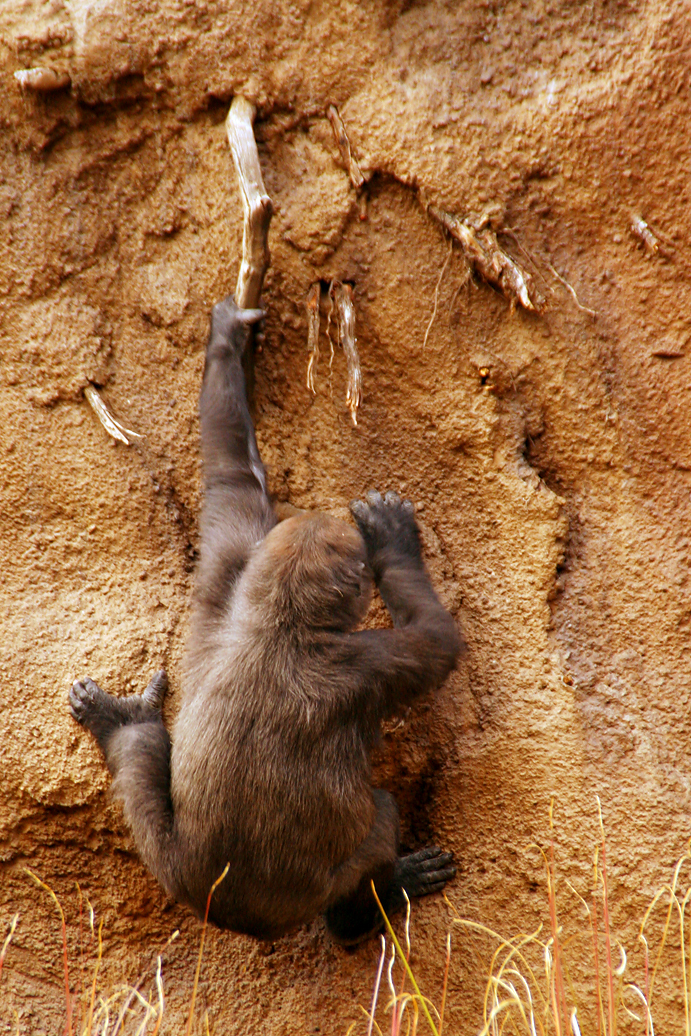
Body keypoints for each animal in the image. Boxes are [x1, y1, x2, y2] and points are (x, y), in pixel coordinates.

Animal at [69, 296, 462, 944]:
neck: (279, 621)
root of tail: (231, 918)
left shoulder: (233, 564)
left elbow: (230, 473)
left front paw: (227, 341)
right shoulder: (373, 661)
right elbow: (438, 640)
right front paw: (395, 541)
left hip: (172, 869)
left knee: (143, 766)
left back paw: (120, 725)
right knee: (378, 820)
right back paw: (369, 906)